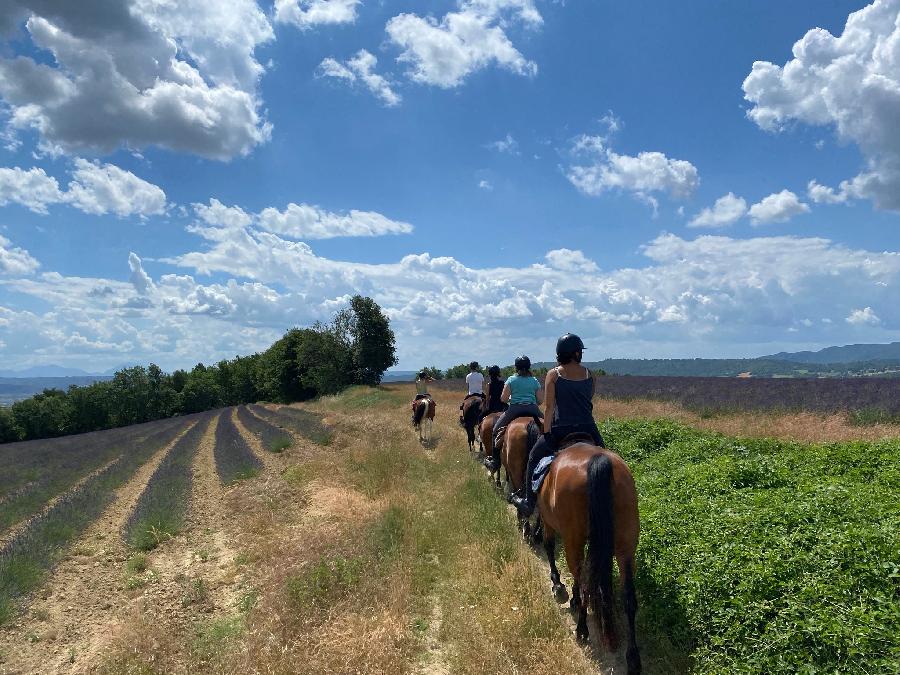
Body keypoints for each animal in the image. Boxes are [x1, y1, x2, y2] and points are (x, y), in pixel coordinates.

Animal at [536, 444, 640, 672]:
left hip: (572, 538)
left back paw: (582, 629)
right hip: (626, 546)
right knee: (628, 597)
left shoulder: (549, 523)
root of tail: (599, 461)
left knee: (584, 581)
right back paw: (632, 658)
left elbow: (549, 547)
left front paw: (559, 586)